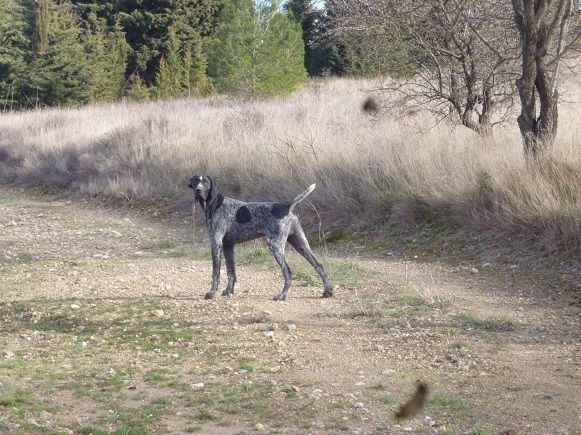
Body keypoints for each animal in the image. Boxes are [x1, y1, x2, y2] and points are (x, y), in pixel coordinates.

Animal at [188, 175, 334, 302]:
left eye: (206, 182)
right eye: (196, 182)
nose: (198, 190)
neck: (215, 204)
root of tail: (287, 206)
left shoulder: (216, 243)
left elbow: (216, 273)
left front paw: (212, 293)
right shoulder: (227, 246)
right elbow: (231, 272)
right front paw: (228, 291)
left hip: (275, 246)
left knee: (288, 271)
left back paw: (282, 295)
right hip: (300, 243)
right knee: (318, 265)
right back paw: (327, 291)